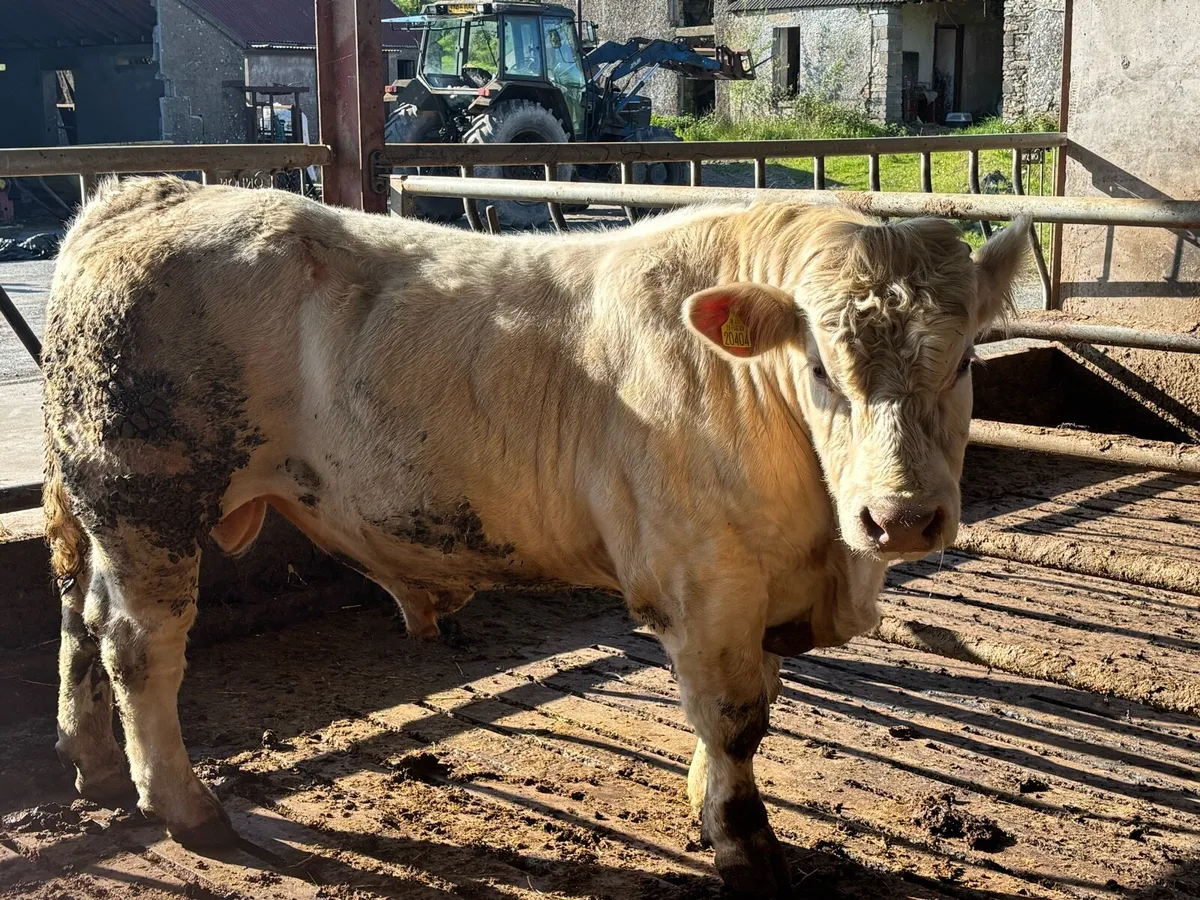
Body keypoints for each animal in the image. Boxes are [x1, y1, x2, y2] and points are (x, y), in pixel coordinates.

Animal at [43, 176, 1027, 897]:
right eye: (821, 367)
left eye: (966, 359)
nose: (901, 518)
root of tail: (150, 192)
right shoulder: (703, 579)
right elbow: (737, 718)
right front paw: (745, 847)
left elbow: (742, 714)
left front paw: (704, 796)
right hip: (149, 501)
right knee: (141, 647)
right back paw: (184, 806)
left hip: (105, 516)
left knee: (82, 620)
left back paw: (93, 767)